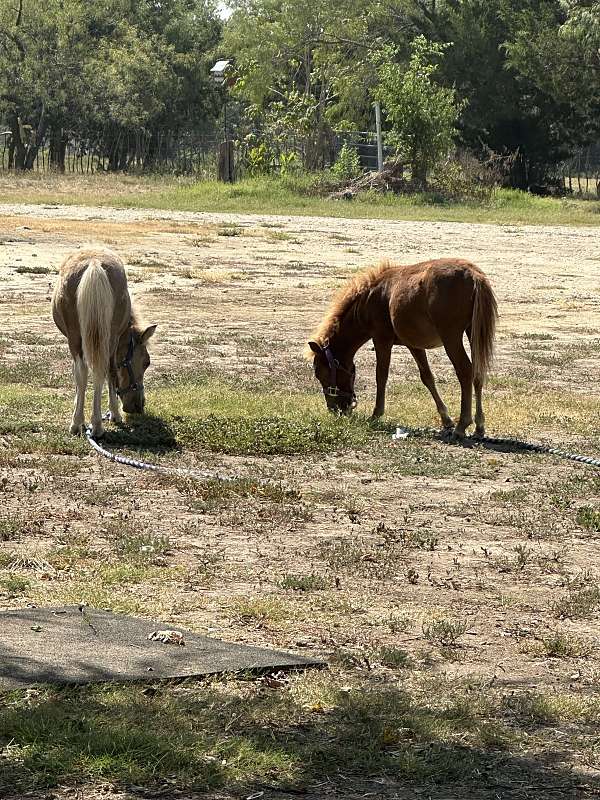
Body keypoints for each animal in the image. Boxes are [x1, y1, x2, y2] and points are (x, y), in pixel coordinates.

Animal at [308, 258, 500, 438]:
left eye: (320, 374)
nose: (335, 410)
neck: (370, 299)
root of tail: (474, 275)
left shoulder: (381, 339)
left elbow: (381, 376)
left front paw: (376, 414)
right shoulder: (413, 345)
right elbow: (427, 377)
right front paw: (446, 419)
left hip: (451, 337)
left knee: (465, 371)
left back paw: (462, 425)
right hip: (473, 332)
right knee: (477, 373)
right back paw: (479, 426)